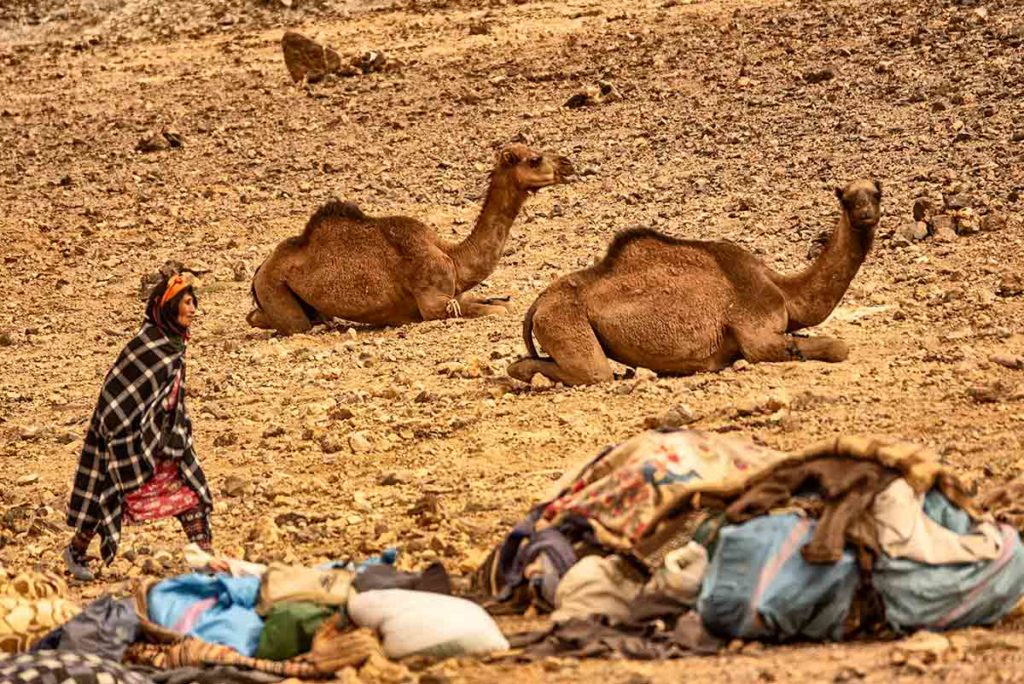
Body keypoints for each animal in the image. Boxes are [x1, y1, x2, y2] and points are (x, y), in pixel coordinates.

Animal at [244, 144, 573, 333]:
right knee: (282, 322)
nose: (568, 164)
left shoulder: (457, 295)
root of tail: (260, 270)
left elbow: (502, 303)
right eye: (535, 159)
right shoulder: (434, 305)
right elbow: (498, 310)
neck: (453, 257)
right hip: (275, 288)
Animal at [507, 179, 884, 385]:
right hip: (564, 320)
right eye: (847, 198)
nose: (865, 213)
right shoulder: (756, 334)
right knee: (591, 371)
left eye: (876, 194)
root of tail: (537, 304)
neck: (783, 291)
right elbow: (836, 347)